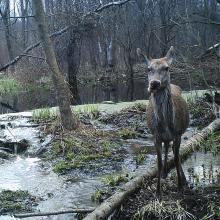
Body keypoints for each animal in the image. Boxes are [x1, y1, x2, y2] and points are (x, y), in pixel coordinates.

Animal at [137, 46, 188, 196]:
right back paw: (165, 173)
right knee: (166, 148)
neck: (166, 123)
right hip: (165, 138)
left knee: (174, 152)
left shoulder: (177, 134)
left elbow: (176, 159)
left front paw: (179, 186)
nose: (154, 83)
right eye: (148, 68)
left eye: (167, 68)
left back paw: (183, 179)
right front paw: (158, 191)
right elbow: (158, 163)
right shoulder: (156, 136)